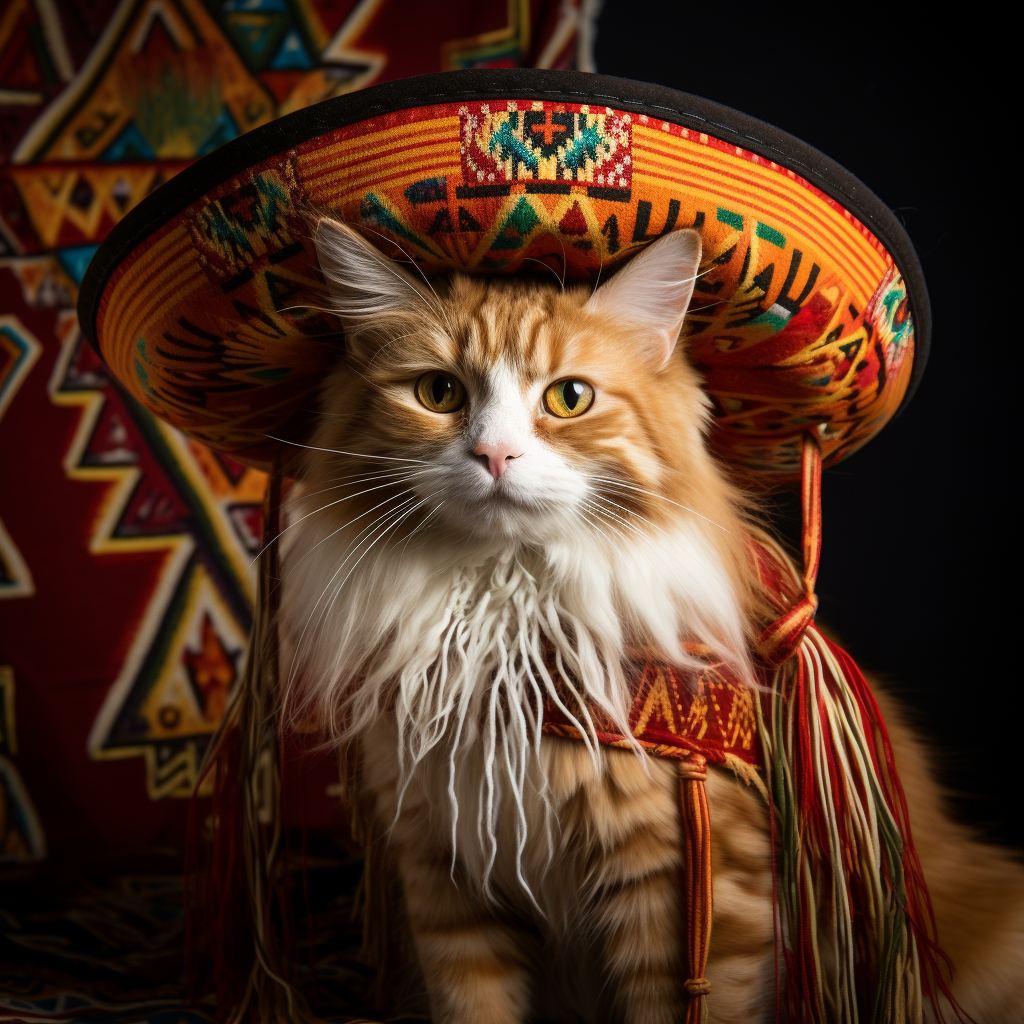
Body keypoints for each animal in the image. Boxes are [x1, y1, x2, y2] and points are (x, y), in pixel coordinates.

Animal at [280, 222, 1024, 1024]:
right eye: (438, 392)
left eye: (569, 398)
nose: (494, 454)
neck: (508, 634)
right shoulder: (444, 880)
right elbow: (472, 1005)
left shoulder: (683, 895)